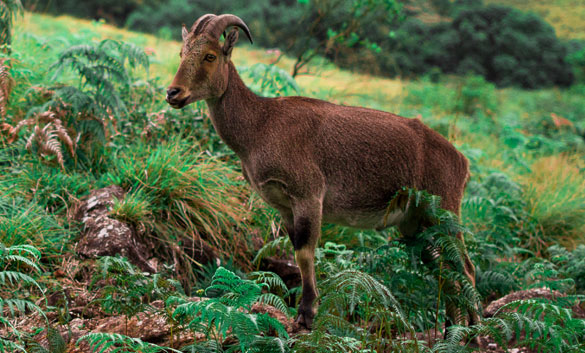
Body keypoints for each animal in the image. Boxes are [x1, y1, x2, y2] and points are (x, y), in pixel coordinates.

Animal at [167, 13, 476, 332]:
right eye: (181, 53)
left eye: (210, 55)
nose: (173, 93)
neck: (260, 126)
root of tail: (461, 162)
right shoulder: (284, 206)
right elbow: (296, 251)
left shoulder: (308, 195)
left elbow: (305, 252)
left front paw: (306, 315)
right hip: (415, 224)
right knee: (445, 269)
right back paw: (451, 329)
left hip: (442, 211)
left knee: (465, 268)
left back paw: (473, 331)